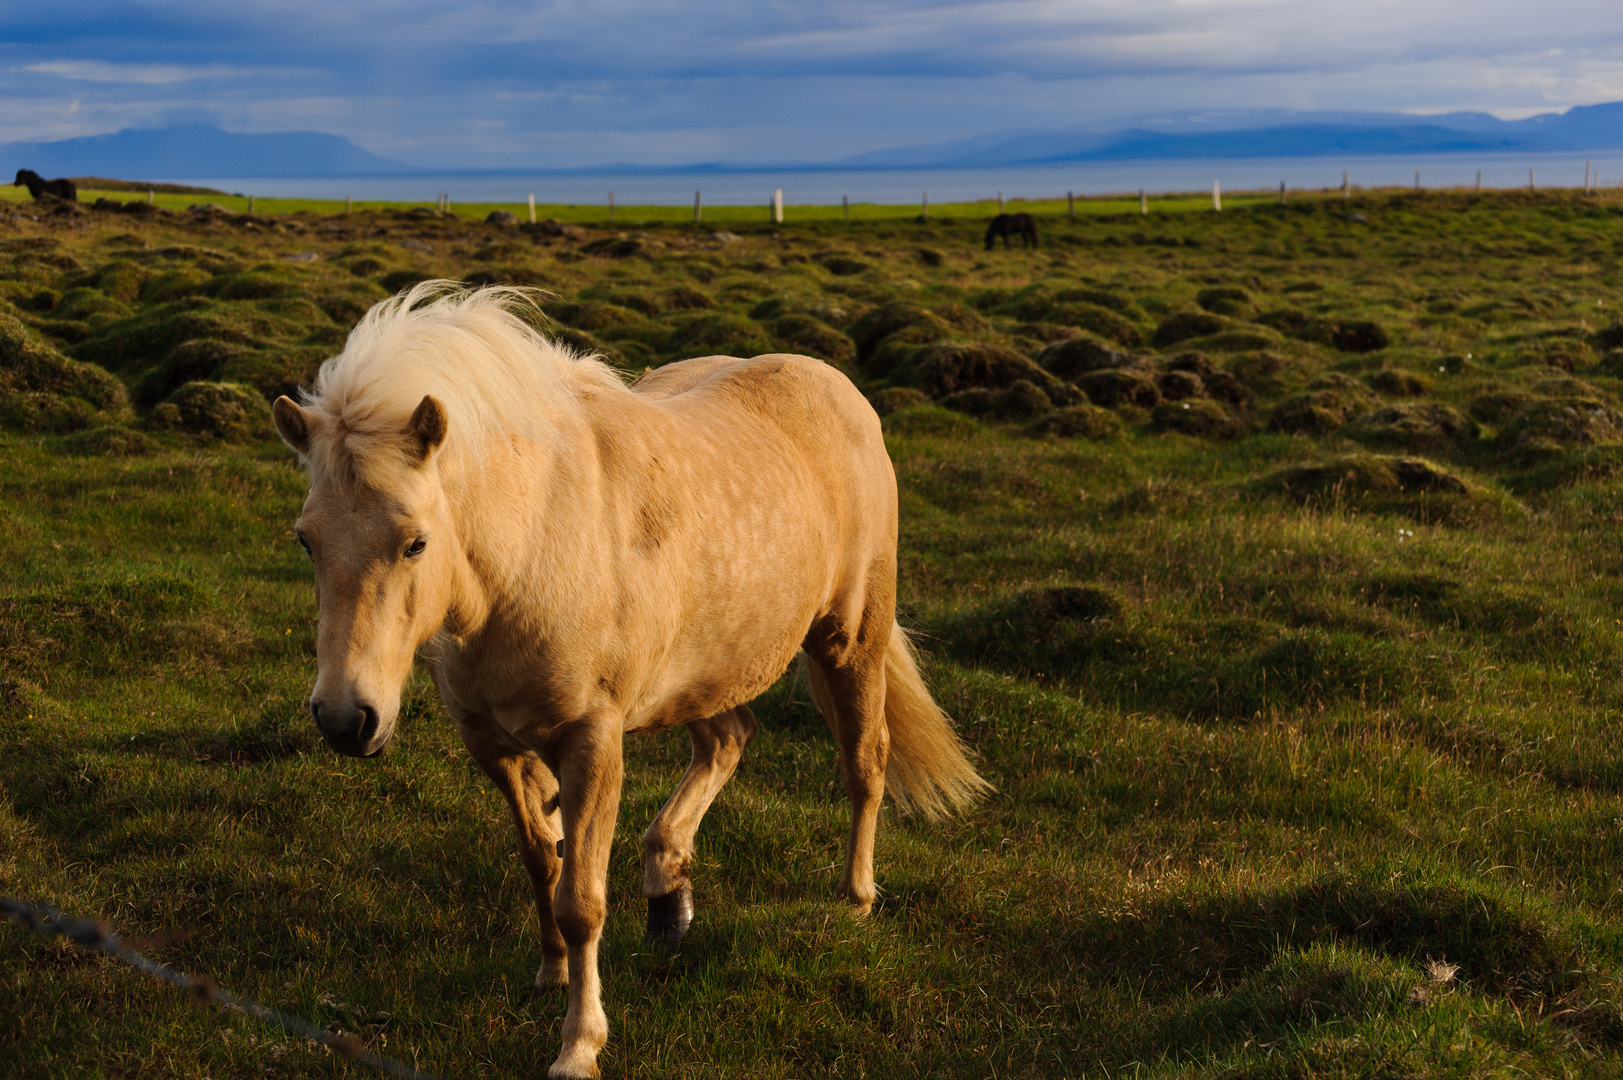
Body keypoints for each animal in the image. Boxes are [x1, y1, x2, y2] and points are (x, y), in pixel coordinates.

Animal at [269, 282, 986, 1071]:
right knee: (729, 739)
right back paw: (668, 886)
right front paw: (551, 972)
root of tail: (837, 388)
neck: (527, 551)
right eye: (307, 541)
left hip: (848, 641)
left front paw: (580, 1044)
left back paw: (855, 899)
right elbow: (541, 862)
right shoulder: (494, 747)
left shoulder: (592, 743)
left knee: (865, 762)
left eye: (414, 542)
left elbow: (581, 901)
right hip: (706, 667)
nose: (346, 719)